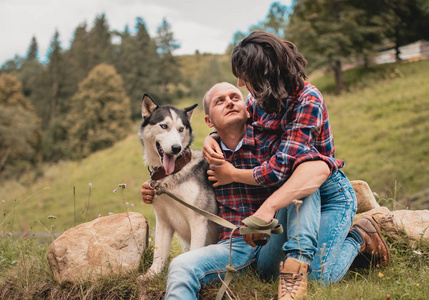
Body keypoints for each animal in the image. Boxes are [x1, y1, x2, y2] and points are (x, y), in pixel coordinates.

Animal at [140, 95, 219, 278]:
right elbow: (158, 253)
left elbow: (195, 250)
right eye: (164, 126)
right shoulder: (163, 220)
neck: (172, 174)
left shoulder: (198, 219)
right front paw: (152, 275)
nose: (176, 148)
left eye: (181, 129)